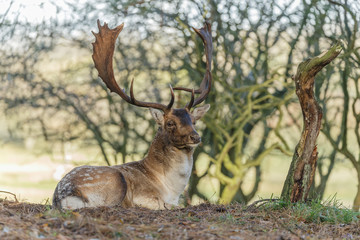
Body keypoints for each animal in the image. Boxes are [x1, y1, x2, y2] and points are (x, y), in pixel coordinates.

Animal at [52, 19, 212, 209]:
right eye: (170, 123)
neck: (171, 190)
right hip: (116, 180)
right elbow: (173, 206)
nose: (195, 137)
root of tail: (63, 195)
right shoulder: (145, 197)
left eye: (193, 121)